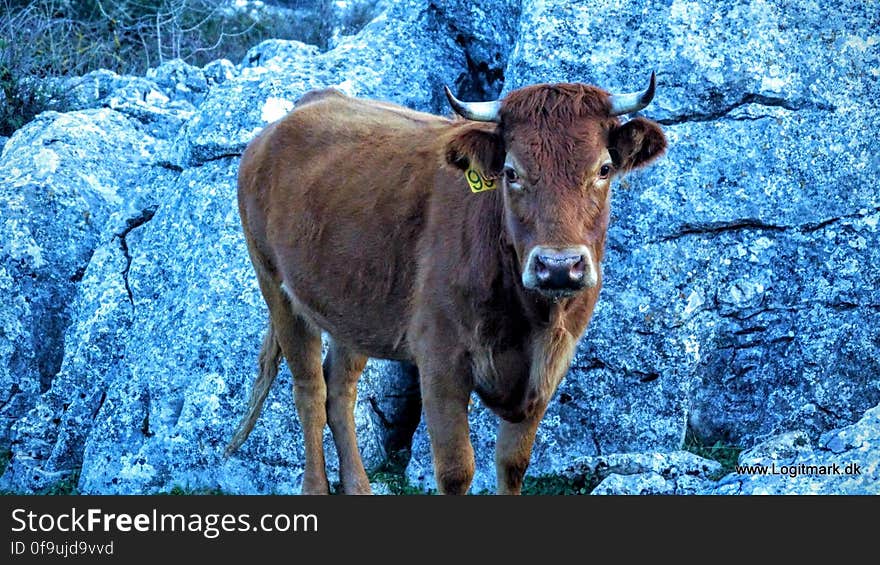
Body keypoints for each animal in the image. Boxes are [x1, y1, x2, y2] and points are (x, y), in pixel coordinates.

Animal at [229, 75, 668, 494]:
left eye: (604, 169)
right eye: (511, 172)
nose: (559, 267)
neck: (531, 319)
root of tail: (305, 106)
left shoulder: (548, 369)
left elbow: (513, 464)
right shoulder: (440, 360)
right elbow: (456, 470)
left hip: (349, 309)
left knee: (340, 391)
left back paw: (360, 488)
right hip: (276, 286)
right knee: (310, 391)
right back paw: (316, 487)